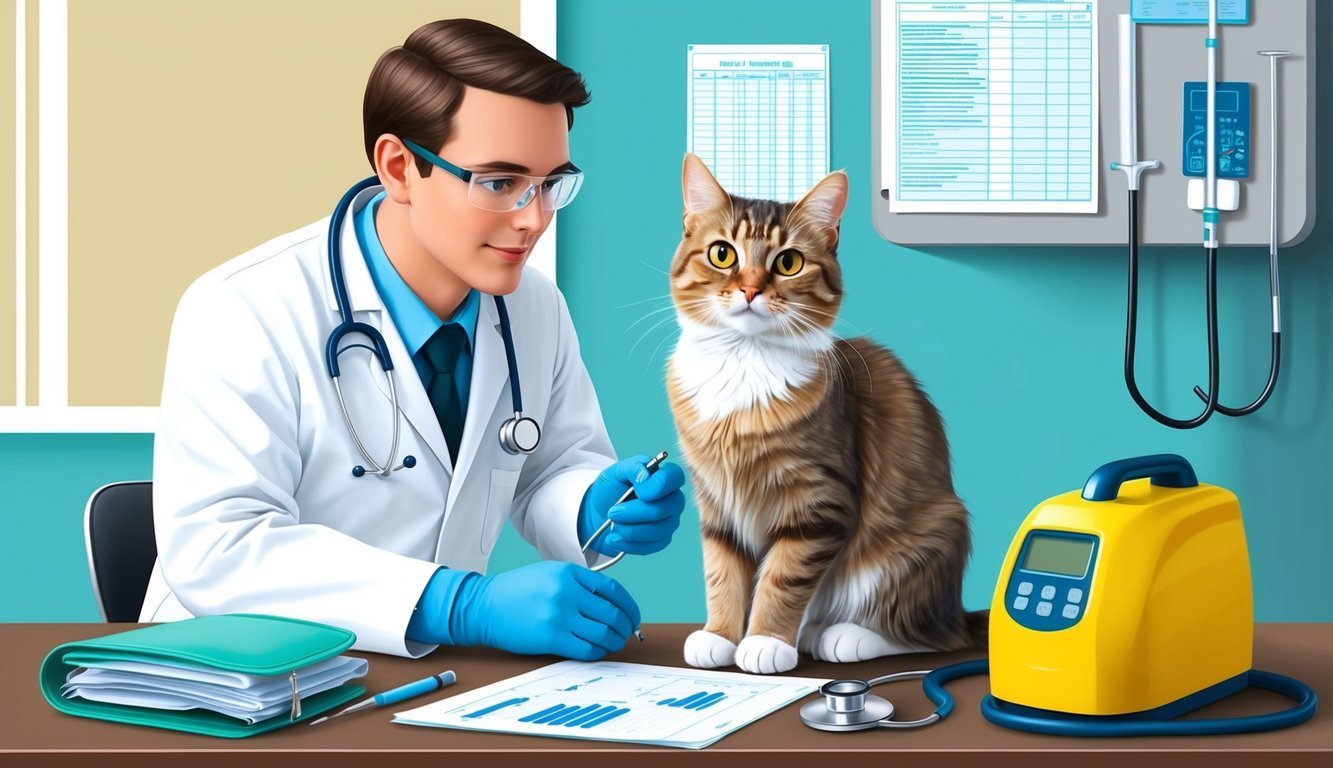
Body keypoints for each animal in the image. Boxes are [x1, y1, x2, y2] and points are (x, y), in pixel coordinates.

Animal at [666, 154, 991, 672]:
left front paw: (765, 641)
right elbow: (722, 571)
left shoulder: (818, 503)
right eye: (722, 254)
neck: (743, 365)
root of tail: (955, 607)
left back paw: (841, 636)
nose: (751, 290)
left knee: (929, 636)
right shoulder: (715, 501)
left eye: (788, 262)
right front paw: (718, 635)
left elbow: (782, 577)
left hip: (922, 540)